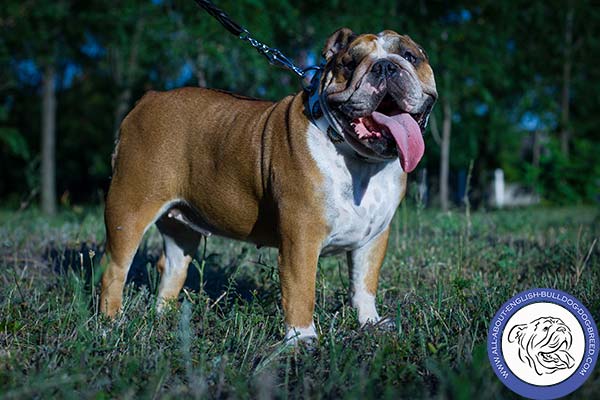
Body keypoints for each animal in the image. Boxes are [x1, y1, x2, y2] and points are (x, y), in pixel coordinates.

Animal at [98, 28, 436, 342]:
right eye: (350, 64)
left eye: (410, 56)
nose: (385, 67)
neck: (358, 159)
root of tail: (149, 98)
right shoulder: (301, 238)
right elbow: (301, 290)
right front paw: (302, 339)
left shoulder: (373, 238)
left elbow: (364, 284)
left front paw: (370, 323)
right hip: (129, 209)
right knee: (114, 271)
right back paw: (110, 326)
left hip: (181, 229)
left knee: (171, 268)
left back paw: (164, 319)